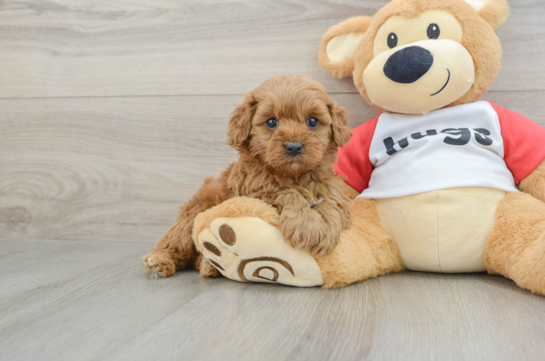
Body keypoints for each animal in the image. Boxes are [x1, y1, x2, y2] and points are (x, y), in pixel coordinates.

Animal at [142, 74, 350, 278]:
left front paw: (327, 227)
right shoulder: (253, 193)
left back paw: (208, 266)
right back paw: (160, 261)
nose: (294, 147)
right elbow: (286, 192)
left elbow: (332, 203)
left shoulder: (330, 187)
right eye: (271, 122)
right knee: (175, 242)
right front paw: (308, 225)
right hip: (194, 212)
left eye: (313, 121)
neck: (293, 175)